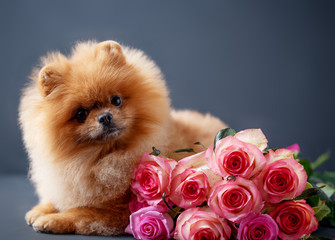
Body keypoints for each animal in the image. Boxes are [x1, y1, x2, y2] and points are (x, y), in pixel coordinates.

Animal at [19, 40, 228, 235]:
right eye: (81, 114)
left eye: (116, 100)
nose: (105, 116)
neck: (101, 158)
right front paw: (41, 209)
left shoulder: (119, 210)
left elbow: (80, 212)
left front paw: (52, 219)